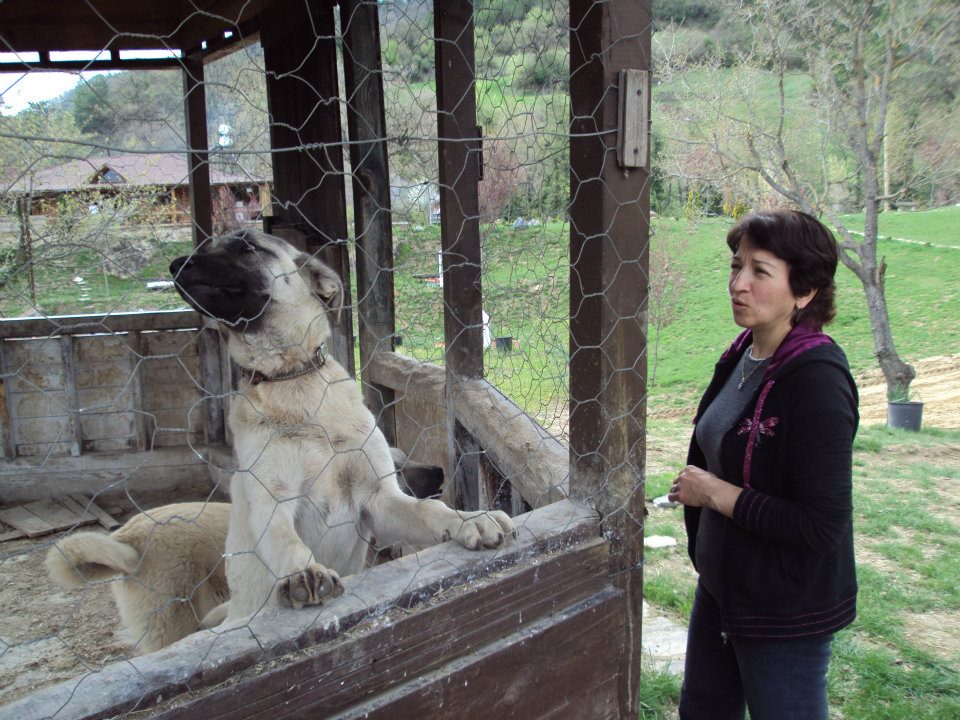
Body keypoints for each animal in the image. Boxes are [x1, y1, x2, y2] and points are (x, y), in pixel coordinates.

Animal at [172, 228, 516, 620]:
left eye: (246, 246)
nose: (175, 266)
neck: (293, 381)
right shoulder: (271, 503)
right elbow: (284, 538)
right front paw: (302, 570)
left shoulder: (380, 500)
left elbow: (429, 508)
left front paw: (468, 520)